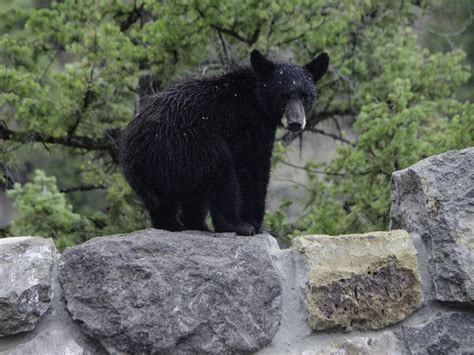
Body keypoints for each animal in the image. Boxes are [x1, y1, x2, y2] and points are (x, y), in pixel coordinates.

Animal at [121, 48, 330, 235]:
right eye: (283, 96)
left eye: (305, 96)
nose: (295, 122)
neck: (255, 99)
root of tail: (135, 150)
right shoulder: (246, 124)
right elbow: (252, 167)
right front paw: (255, 223)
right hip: (184, 147)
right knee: (220, 169)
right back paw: (235, 225)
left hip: (162, 171)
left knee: (169, 202)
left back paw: (183, 225)